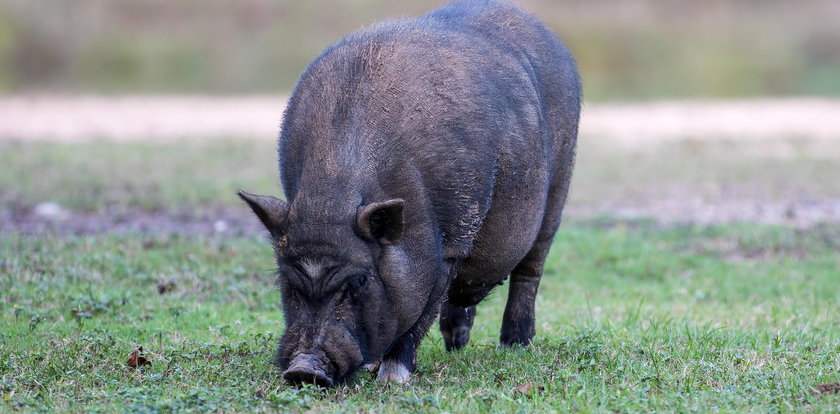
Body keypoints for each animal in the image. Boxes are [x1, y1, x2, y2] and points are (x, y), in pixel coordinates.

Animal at [236, 0, 576, 388]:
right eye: (286, 279)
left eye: (359, 280)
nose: (304, 369)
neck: (332, 193)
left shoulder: (449, 244)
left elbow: (418, 316)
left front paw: (391, 378)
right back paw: (456, 345)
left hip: (559, 186)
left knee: (530, 269)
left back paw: (514, 345)